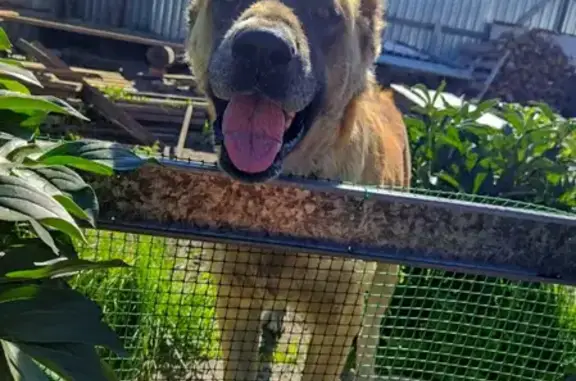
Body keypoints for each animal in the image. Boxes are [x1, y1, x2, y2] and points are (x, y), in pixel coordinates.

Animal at [184, 0, 410, 380]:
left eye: (325, 13)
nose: (262, 47)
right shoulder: (235, 298)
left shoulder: (339, 319)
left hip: (386, 276)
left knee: (372, 329)